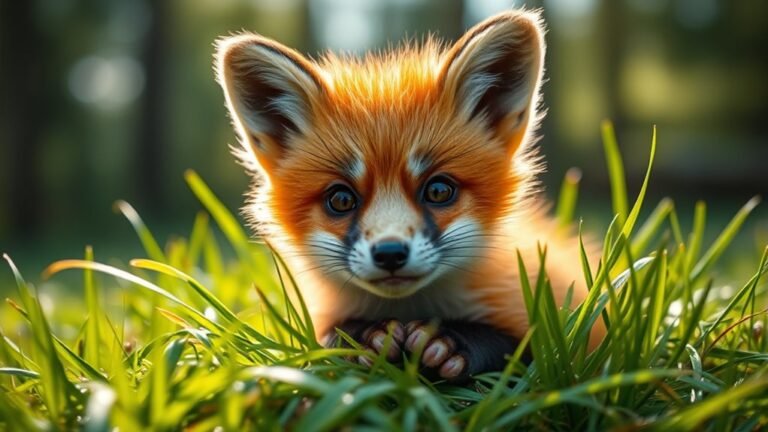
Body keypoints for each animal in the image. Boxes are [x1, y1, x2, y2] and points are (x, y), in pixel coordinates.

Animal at [215, 9, 605, 382]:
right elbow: (327, 342)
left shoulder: (552, 333)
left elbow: (522, 351)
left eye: (438, 191)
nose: (390, 253)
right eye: (341, 200)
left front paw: (451, 341)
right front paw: (363, 337)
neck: (408, 310)